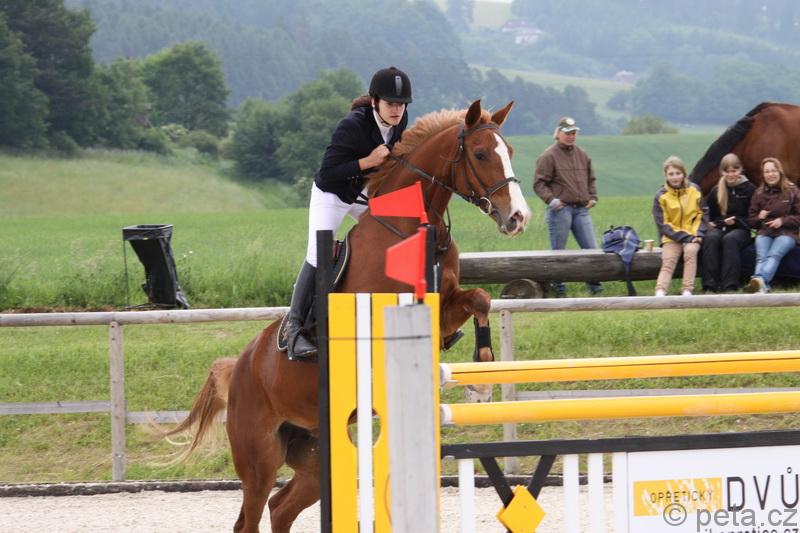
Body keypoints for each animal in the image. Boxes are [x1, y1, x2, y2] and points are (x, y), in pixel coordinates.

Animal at [162, 99, 531, 533]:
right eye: (480, 154)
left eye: (510, 150)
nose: (518, 217)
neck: (410, 227)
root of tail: (238, 367)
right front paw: (480, 384)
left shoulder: (446, 307)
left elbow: (480, 300)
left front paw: (482, 380)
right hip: (259, 457)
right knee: (250, 517)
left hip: (317, 452)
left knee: (280, 508)